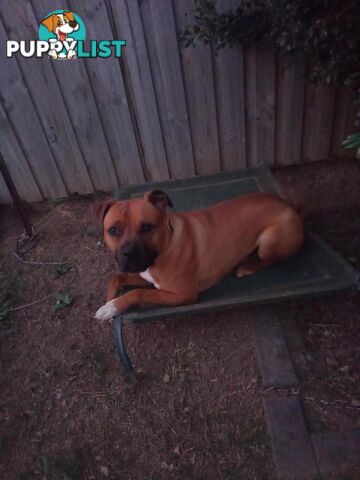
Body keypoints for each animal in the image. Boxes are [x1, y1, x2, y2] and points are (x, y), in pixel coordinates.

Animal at [94, 189, 302, 320]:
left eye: (147, 227)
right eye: (113, 230)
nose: (128, 254)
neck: (167, 243)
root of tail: (288, 205)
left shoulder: (182, 295)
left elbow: (138, 293)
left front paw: (113, 306)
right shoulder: (146, 276)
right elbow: (118, 276)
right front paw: (110, 298)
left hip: (269, 240)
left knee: (271, 258)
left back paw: (247, 266)